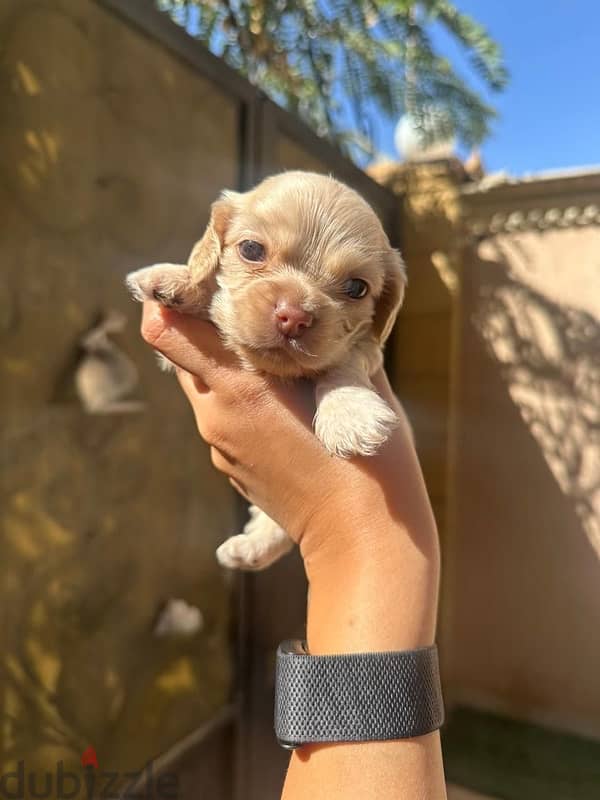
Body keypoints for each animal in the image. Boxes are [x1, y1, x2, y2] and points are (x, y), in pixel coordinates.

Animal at [128, 170, 406, 568]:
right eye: (251, 250)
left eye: (356, 287)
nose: (294, 317)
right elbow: (214, 300)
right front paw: (176, 280)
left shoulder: (367, 349)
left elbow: (344, 364)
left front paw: (348, 414)